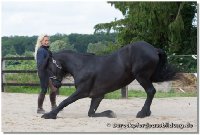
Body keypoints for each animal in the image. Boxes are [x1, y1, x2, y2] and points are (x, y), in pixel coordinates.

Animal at [41, 41, 176, 119]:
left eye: (49, 67)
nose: (55, 84)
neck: (82, 66)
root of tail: (154, 49)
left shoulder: (82, 91)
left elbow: (65, 101)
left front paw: (50, 115)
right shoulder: (97, 95)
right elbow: (91, 113)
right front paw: (110, 113)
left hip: (141, 76)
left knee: (151, 91)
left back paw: (143, 113)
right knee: (151, 92)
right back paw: (146, 112)